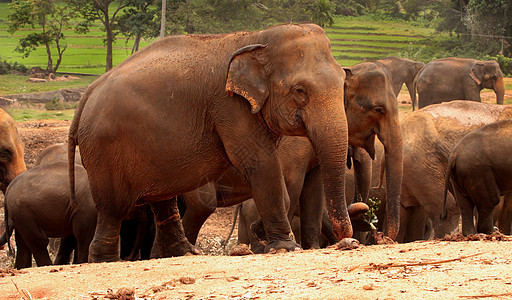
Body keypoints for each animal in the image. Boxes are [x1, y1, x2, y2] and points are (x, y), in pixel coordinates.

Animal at [70, 24, 354, 262]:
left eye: (343, 84)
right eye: (299, 91)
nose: (347, 240)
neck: (259, 37)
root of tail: (88, 93)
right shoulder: (229, 106)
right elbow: (261, 162)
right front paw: (286, 247)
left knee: (162, 198)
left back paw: (185, 253)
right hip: (104, 149)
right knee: (113, 208)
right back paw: (106, 260)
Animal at [181, 61, 404, 248]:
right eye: (378, 109)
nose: (384, 237)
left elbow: (314, 190)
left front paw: (311, 247)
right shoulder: (293, 146)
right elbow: (291, 184)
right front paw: (277, 240)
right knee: (203, 204)